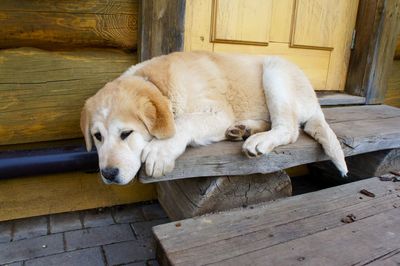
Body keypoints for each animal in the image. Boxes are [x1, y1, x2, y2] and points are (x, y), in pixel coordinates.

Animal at [81, 52, 346, 185]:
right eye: (97, 137)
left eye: (126, 134)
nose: (108, 174)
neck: (157, 83)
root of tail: (315, 100)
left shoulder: (218, 113)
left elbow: (183, 123)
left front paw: (160, 151)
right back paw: (243, 129)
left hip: (274, 70)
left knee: (289, 129)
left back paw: (259, 139)